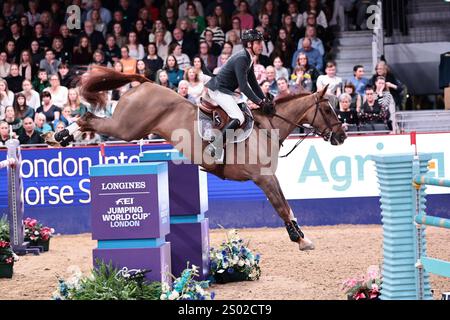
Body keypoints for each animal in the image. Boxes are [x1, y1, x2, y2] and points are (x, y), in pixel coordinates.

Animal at [53, 67, 348, 250]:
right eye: (327, 109)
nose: (342, 135)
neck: (267, 128)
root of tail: (146, 82)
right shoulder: (263, 178)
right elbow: (281, 207)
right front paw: (300, 240)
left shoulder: (269, 177)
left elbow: (288, 205)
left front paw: (301, 236)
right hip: (127, 128)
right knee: (88, 117)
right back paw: (59, 135)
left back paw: (60, 135)